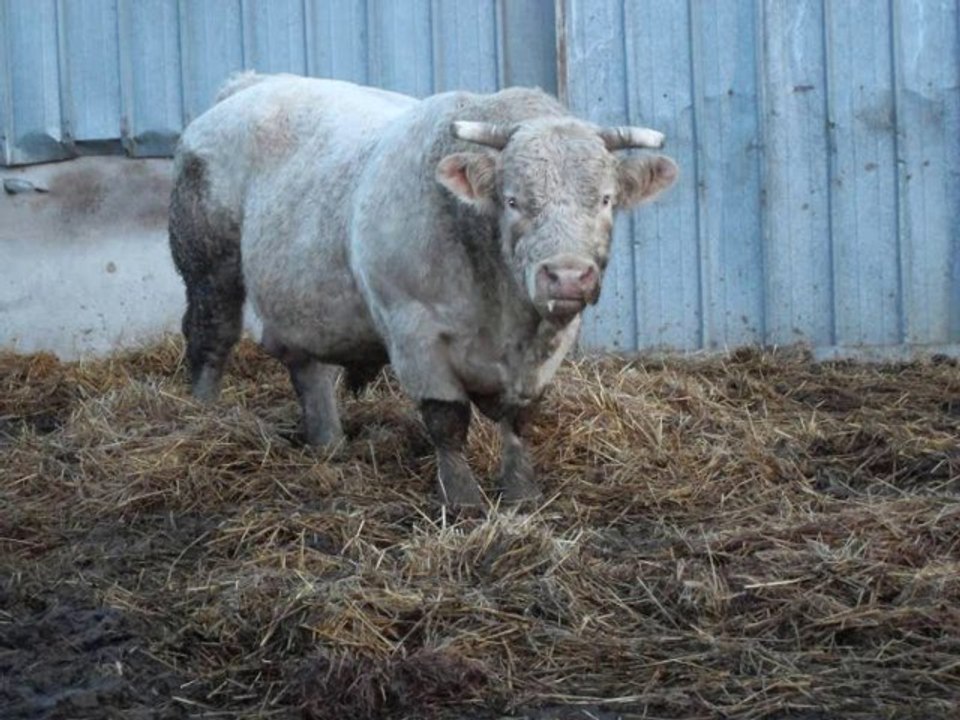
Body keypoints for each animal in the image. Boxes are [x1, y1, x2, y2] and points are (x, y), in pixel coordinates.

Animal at [169, 72, 677, 508]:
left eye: (606, 199)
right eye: (513, 200)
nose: (568, 276)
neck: (502, 311)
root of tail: (251, 83)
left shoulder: (549, 345)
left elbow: (520, 418)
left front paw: (522, 493)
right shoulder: (412, 329)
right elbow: (446, 420)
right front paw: (462, 499)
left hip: (306, 303)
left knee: (307, 366)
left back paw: (330, 444)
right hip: (209, 265)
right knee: (211, 339)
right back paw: (202, 417)